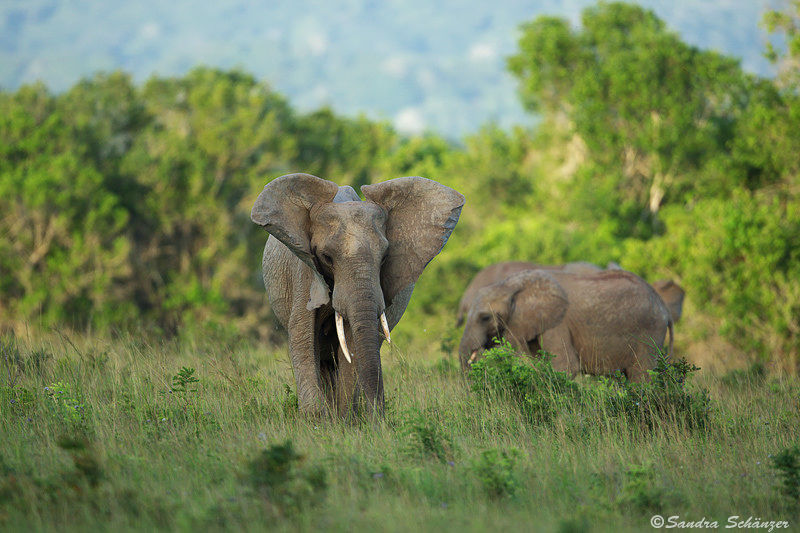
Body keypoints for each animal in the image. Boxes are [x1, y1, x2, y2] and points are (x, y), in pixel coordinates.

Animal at [250, 172, 462, 418]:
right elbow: (302, 336)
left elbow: (351, 344)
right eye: (326, 257)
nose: (379, 415)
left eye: (385, 256)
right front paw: (316, 420)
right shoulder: (305, 271)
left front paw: (344, 420)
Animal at [460, 270, 672, 382]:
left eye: (485, 317)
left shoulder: (558, 324)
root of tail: (664, 307)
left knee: (642, 376)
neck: (511, 285)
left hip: (649, 332)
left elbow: (565, 366)